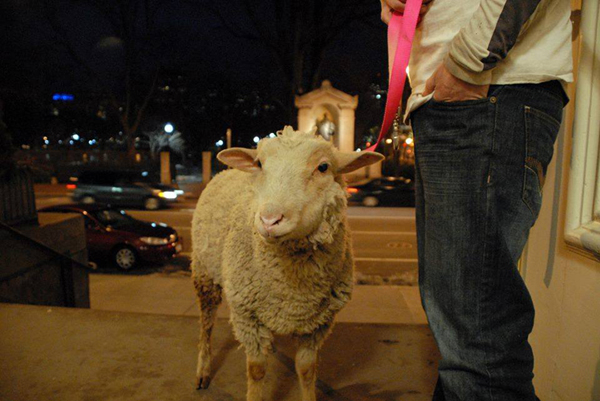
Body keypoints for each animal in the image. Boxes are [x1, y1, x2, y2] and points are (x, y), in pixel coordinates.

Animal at [192, 126, 384, 400]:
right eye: (259, 164)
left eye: (323, 167)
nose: (270, 220)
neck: (292, 287)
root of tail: (225, 171)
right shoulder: (247, 316)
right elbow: (256, 370)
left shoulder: (319, 323)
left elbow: (306, 368)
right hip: (204, 274)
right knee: (206, 324)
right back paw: (203, 369)